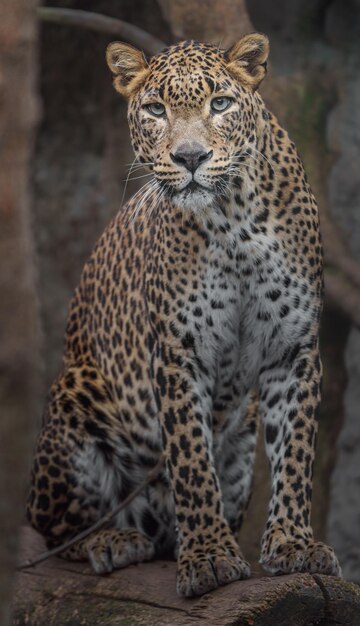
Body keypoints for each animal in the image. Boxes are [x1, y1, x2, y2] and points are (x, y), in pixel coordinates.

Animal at [27, 33, 340, 596]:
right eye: (156, 110)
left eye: (220, 103)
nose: (191, 156)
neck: (235, 219)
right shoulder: (178, 349)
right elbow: (191, 458)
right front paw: (211, 556)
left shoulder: (294, 343)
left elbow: (295, 452)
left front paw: (293, 545)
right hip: (72, 395)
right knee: (55, 530)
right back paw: (114, 540)